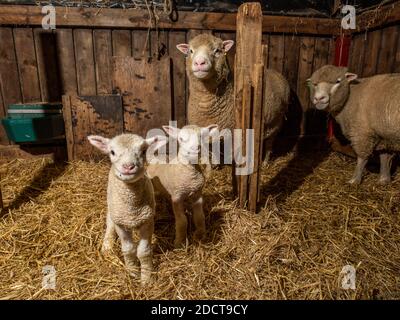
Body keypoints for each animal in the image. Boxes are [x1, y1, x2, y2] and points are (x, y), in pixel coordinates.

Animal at [89, 134, 166, 284]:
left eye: (143, 151)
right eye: (112, 152)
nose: (128, 166)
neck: (132, 209)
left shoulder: (147, 221)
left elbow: (144, 251)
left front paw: (146, 278)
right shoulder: (121, 223)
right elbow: (129, 250)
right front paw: (133, 273)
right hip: (112, 208)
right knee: (109, 224)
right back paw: (107, 246)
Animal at [177, 34, 290, 162]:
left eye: (217, 50)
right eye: (190, 51)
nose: (200, 62)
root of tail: (276, 72)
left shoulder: (233, 135)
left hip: (276, 123)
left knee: (270, 143)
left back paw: (265, 161)